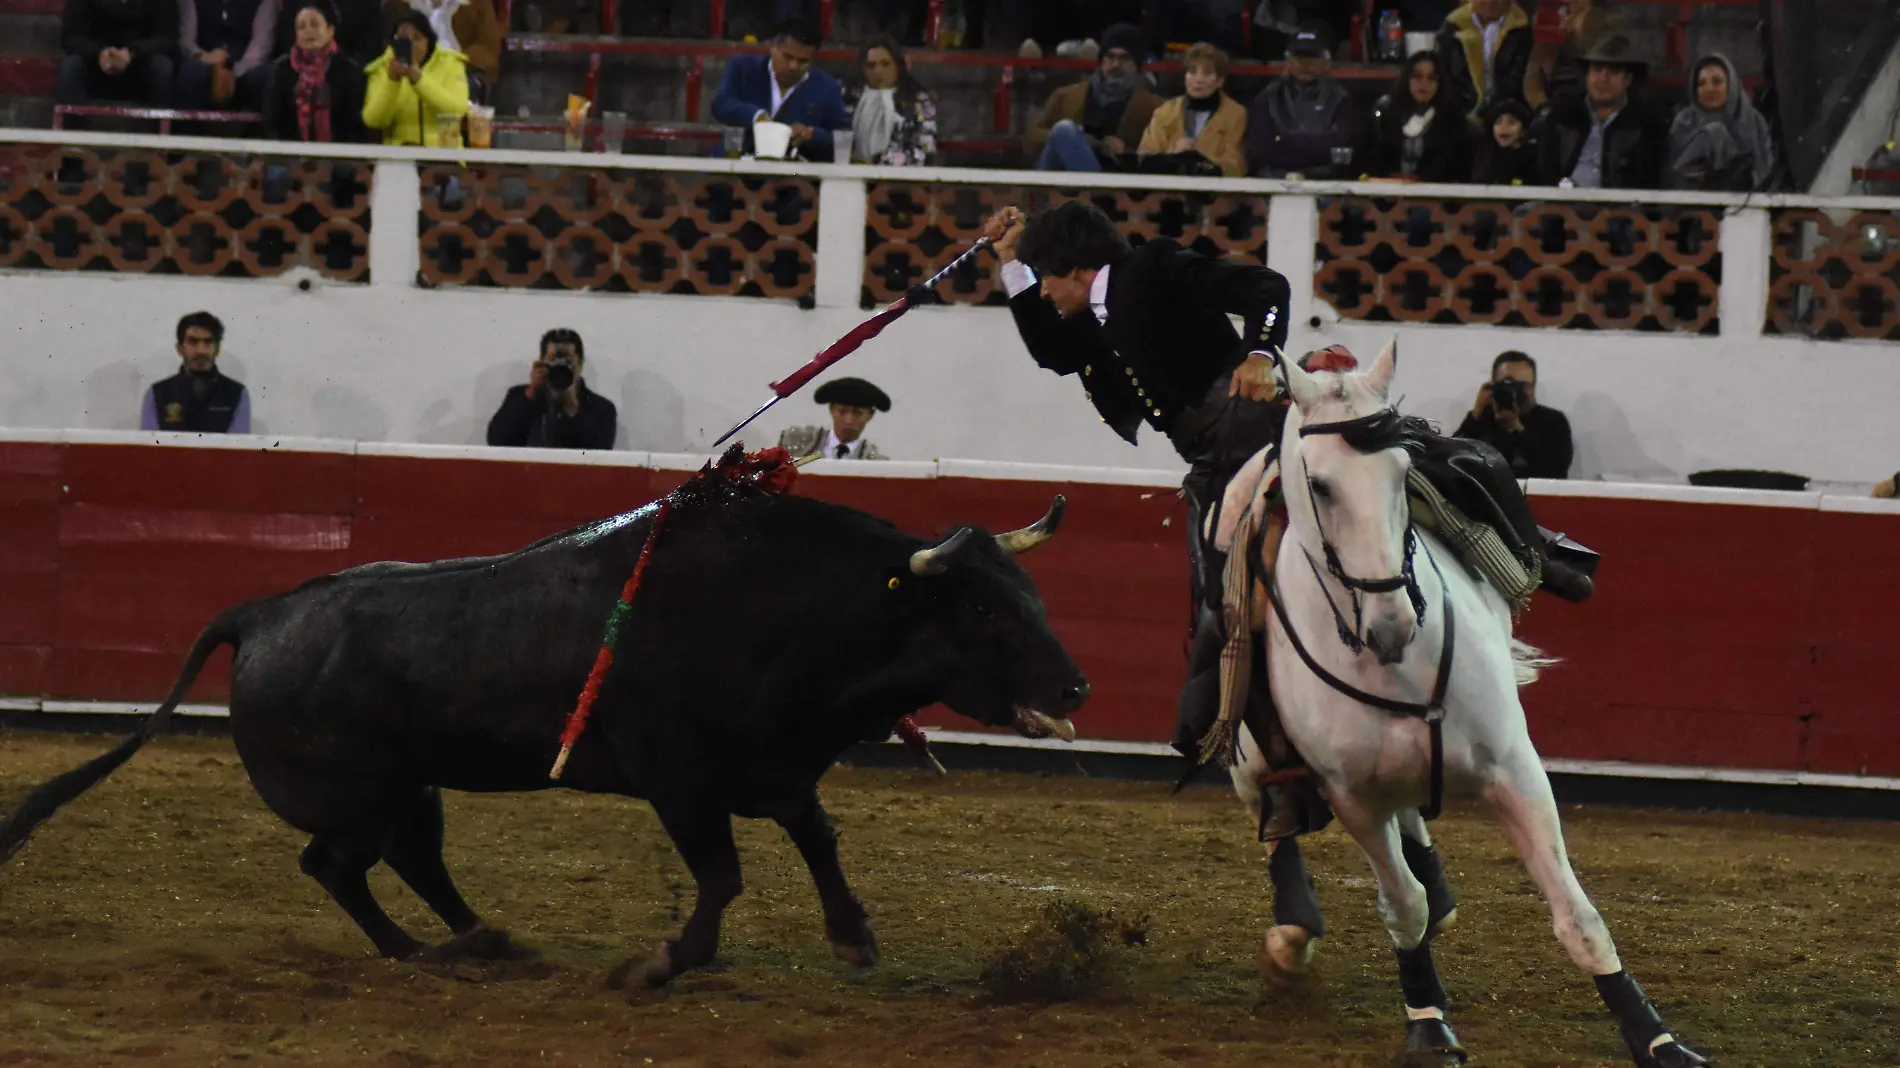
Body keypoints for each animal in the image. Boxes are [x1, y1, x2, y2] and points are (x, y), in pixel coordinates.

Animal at [0, 490, 1086, 980]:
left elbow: (816, 840)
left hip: (414, 787)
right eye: (982, 612)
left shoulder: (776, 767)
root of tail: (262, 611)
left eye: (1032, 594)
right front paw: (667, 961)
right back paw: (414, 950)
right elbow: (723, 874)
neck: (782, 604)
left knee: (410, 860)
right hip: (360, 793)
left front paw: (854, 937)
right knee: (337, 866)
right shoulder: (682, 781)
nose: (1076, 682)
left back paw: (480, 938)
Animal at [1208, 342, 1717, 1064]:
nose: (1391, 622)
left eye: (1403, 472)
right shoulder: (1352, 798)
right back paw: (1292, 936)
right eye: (1323, 486)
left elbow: (1577, 915)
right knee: (1281, 821)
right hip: (1248, 760)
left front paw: (1657, 1038)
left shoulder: (1514, 769)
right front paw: (1426, 1020)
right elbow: (1403, 907)